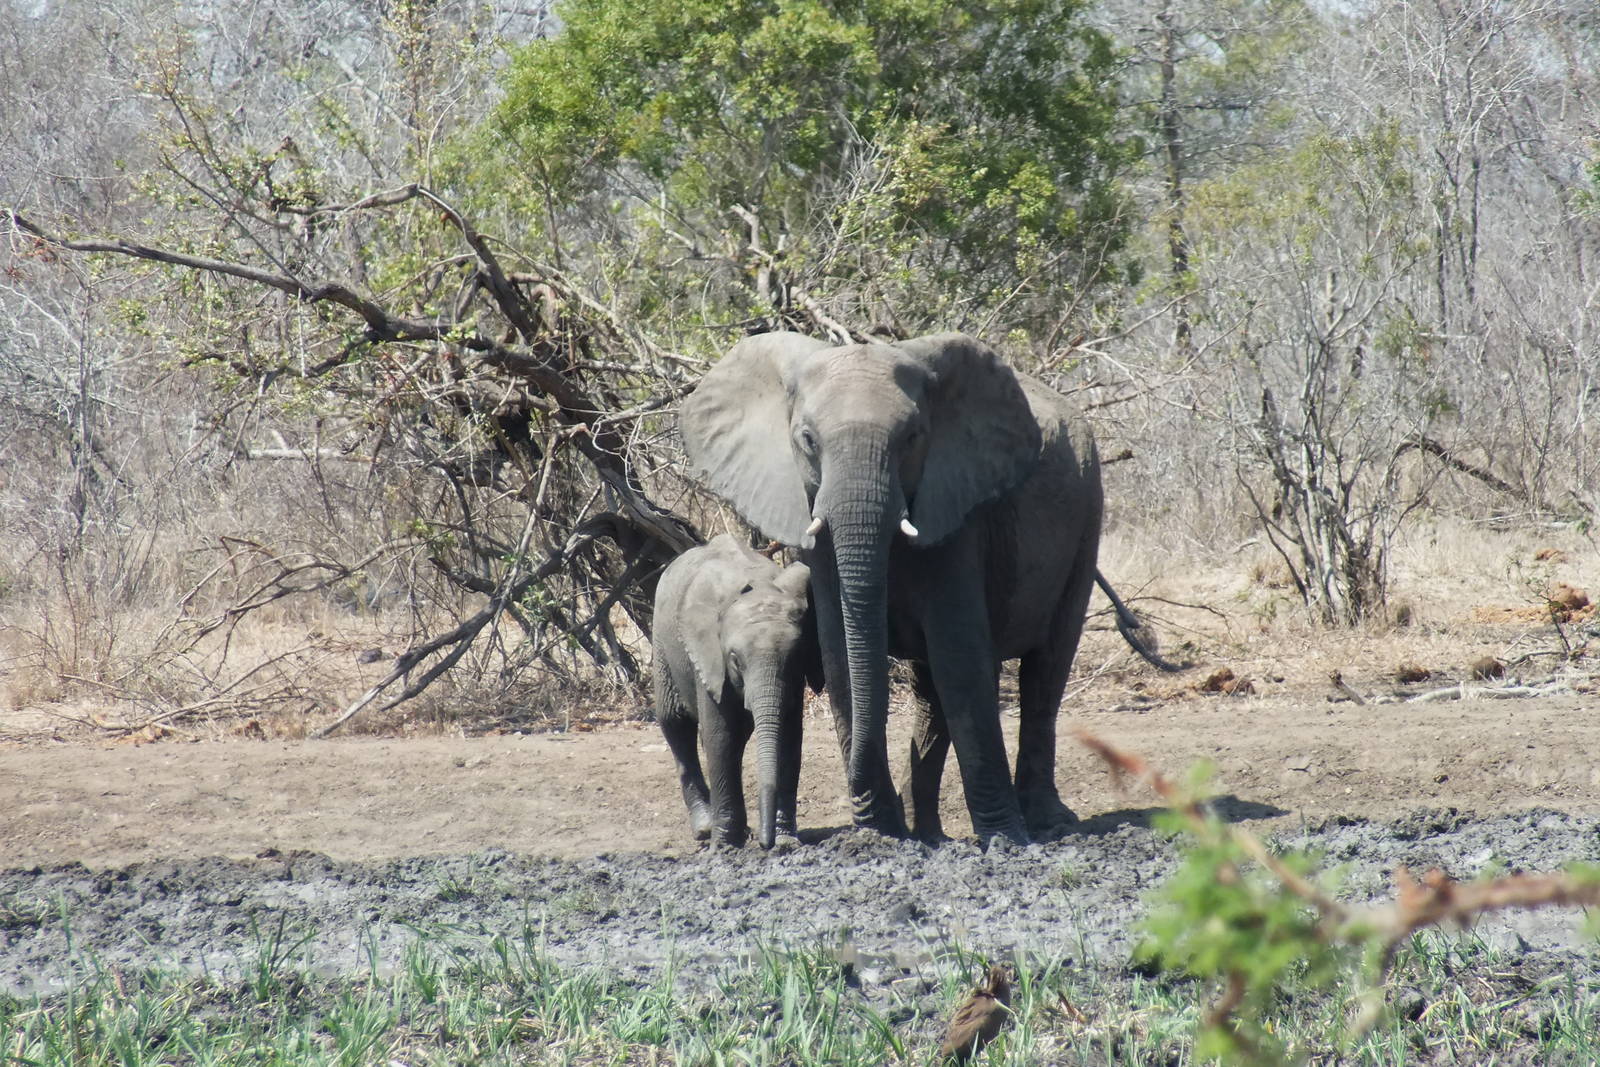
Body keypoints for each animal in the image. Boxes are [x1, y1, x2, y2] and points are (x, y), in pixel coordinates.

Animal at [652, 534, 820, 848]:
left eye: (797, 657)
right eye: (735, 660)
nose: (766, 844)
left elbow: (789, 738)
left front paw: (786, 841)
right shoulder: (709, 659)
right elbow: (721, 738)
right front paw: (725, 846)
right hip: (661, 642)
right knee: (675, 723)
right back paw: (705, 829)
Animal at [682, 331, 1105, 845]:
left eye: (912, 438)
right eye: (807, 440)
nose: (870, 811)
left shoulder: (958, 512)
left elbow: (960, 659)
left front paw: (1003, 838)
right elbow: (841, 656)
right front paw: (879, 834)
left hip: (1088, 512)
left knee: (1046, 669)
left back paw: (1046, 823)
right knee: (931, 694)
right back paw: (926, 832)